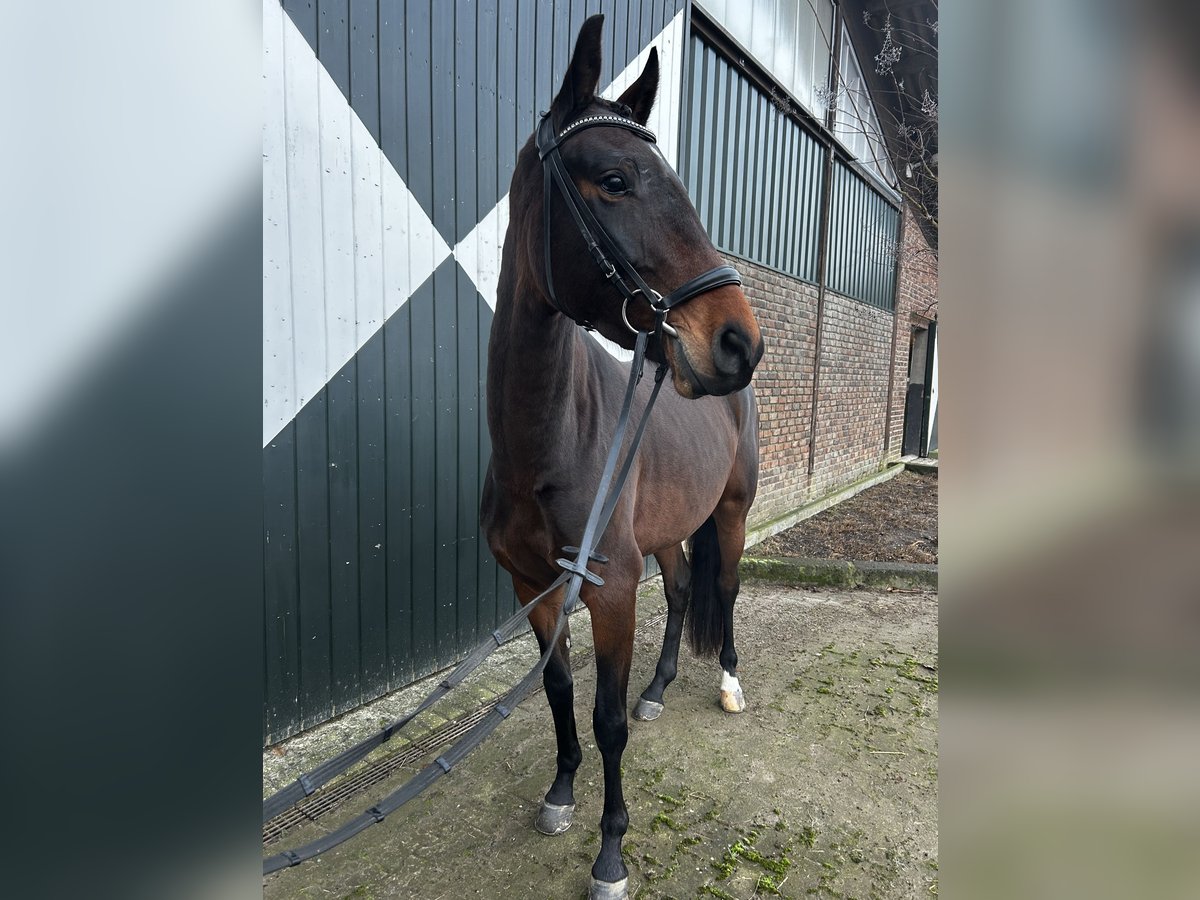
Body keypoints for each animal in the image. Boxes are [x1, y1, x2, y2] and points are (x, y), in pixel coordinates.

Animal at [477, 15, 758, 900]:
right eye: (613, 179)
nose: (738, 342)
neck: (549, 448)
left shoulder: (611, 589)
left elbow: (603, 719)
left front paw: (611, 853)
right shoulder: (535, 586)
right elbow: (560, 690)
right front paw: (561, 794)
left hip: (731, 514)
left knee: (724, 591)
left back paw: (728, 683)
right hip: (669, 534)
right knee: (684, 589)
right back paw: (660, 690)